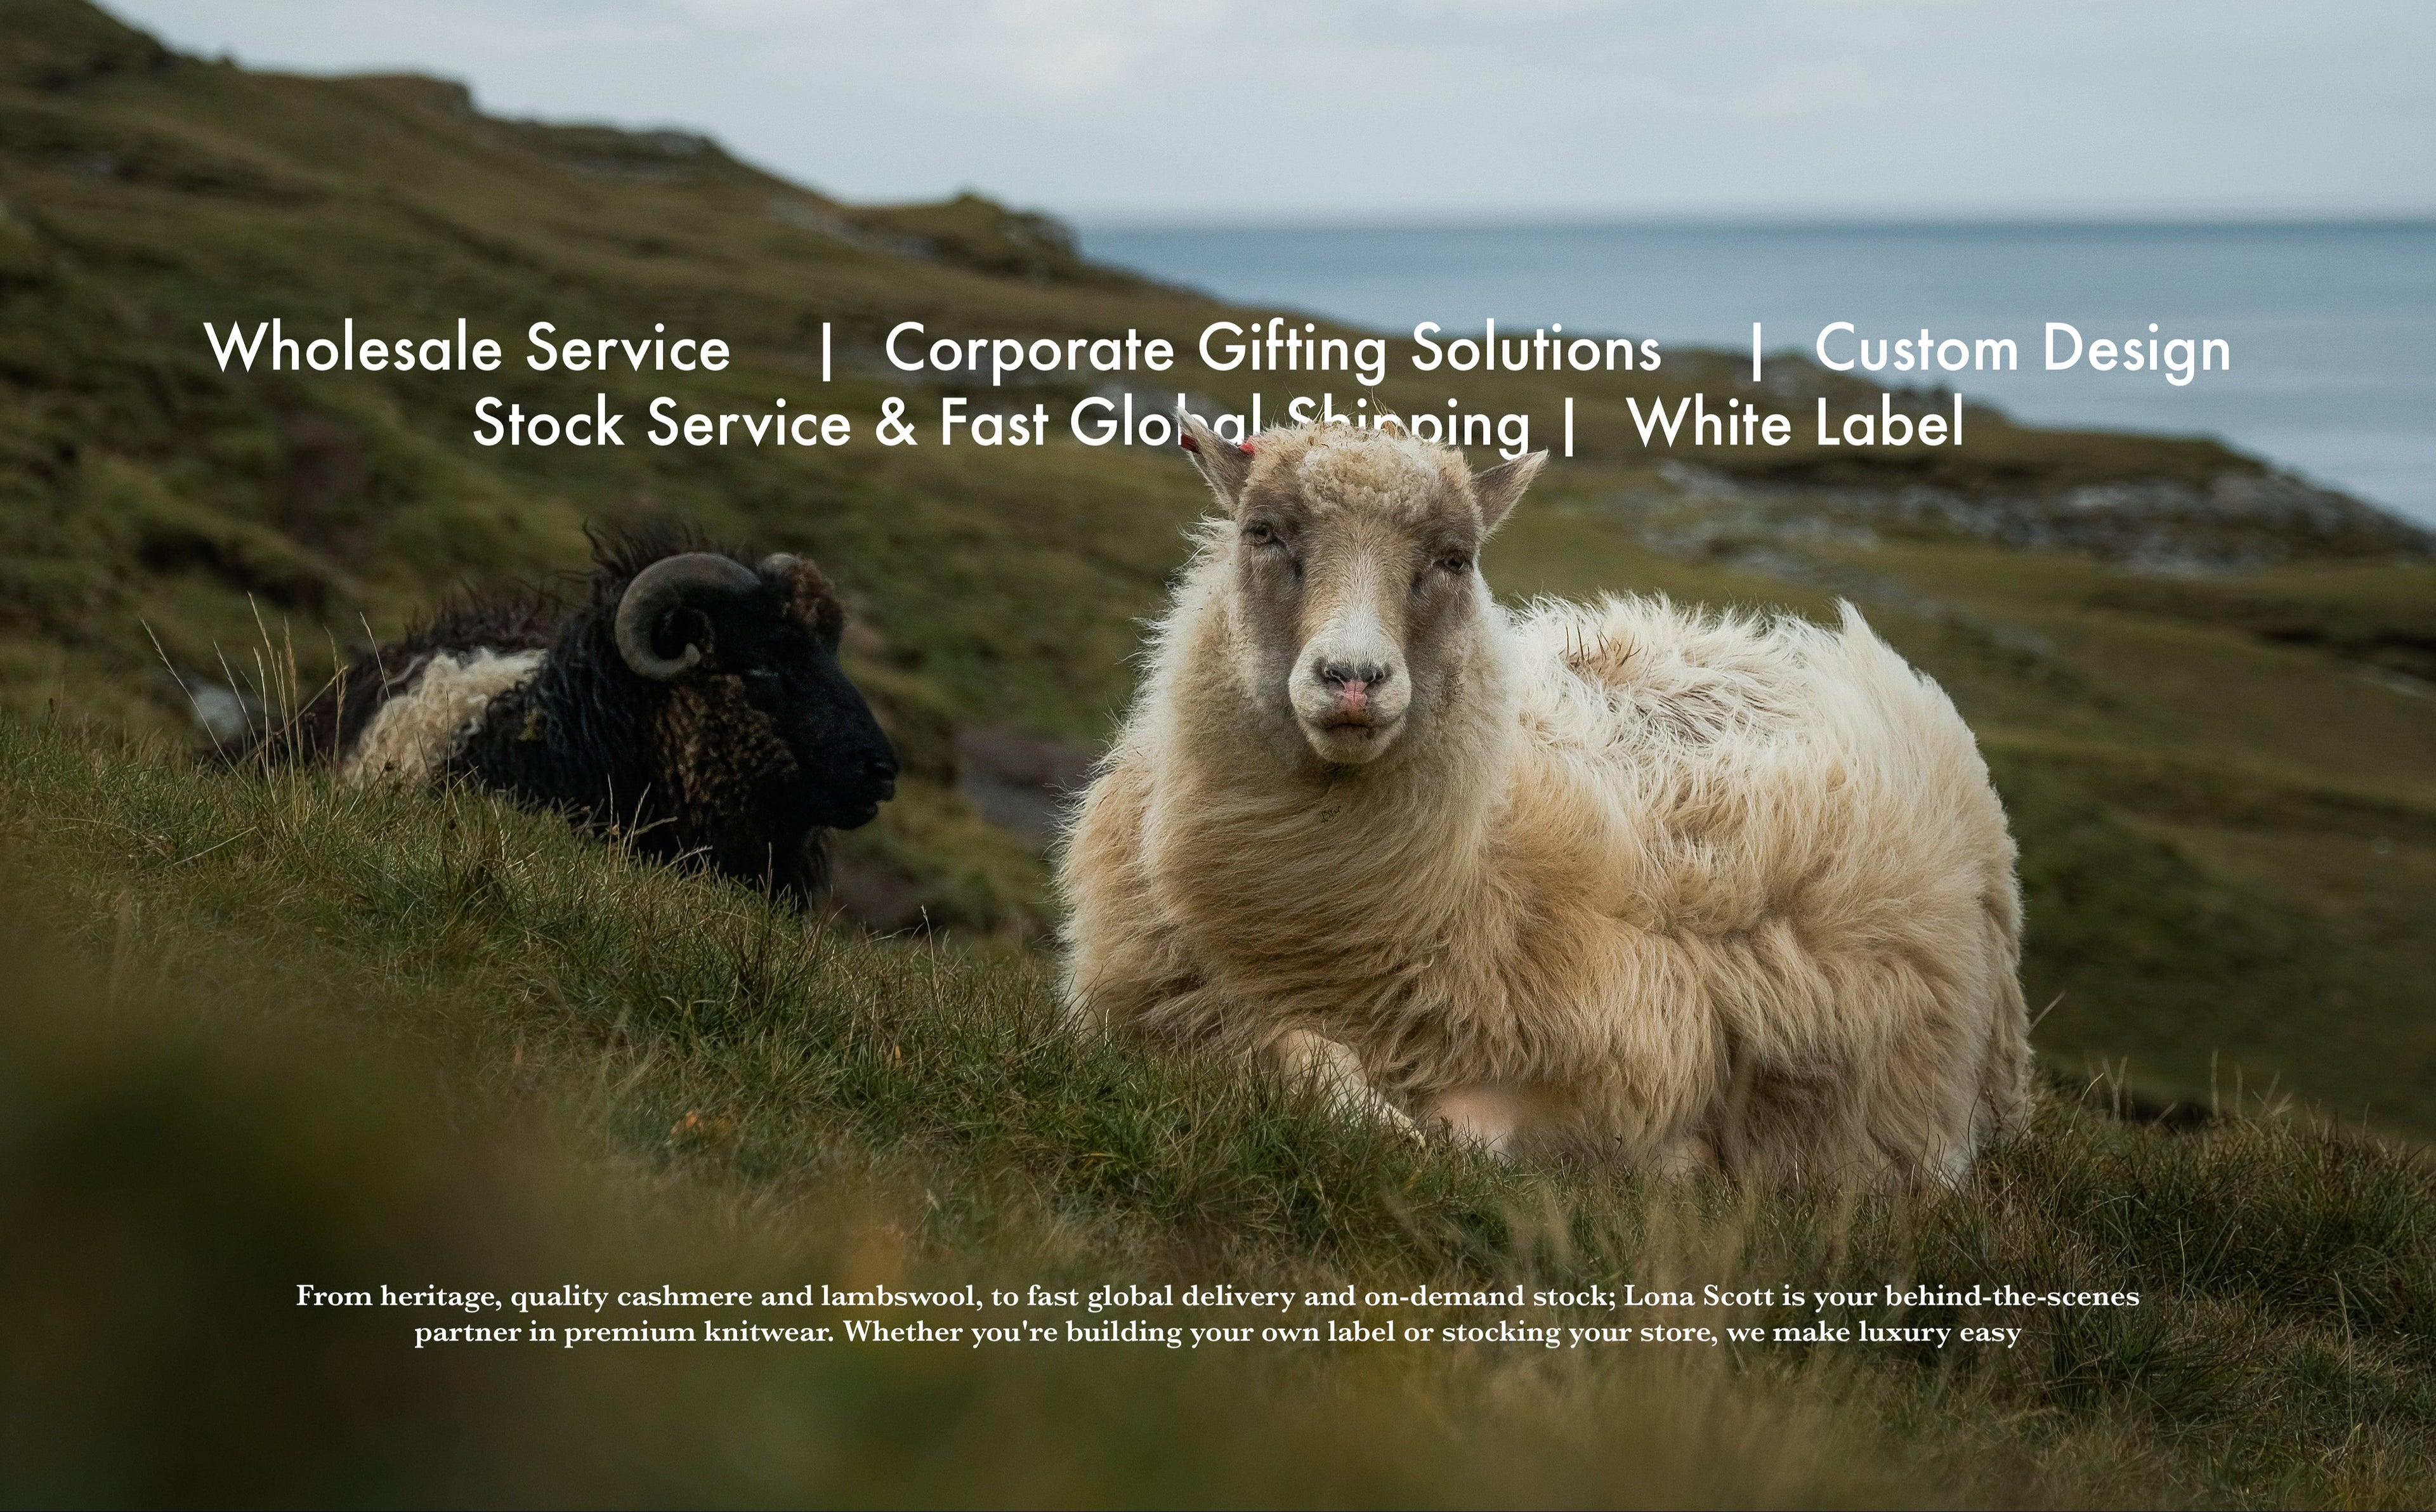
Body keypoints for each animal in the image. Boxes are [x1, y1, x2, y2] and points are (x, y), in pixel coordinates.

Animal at [1057, 420, 2030, 1185]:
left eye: (1454, 559)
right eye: (1262, 532)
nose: (1353, 678)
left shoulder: (1606, 1066)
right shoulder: (1138, 1014)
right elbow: (1297, 1059)